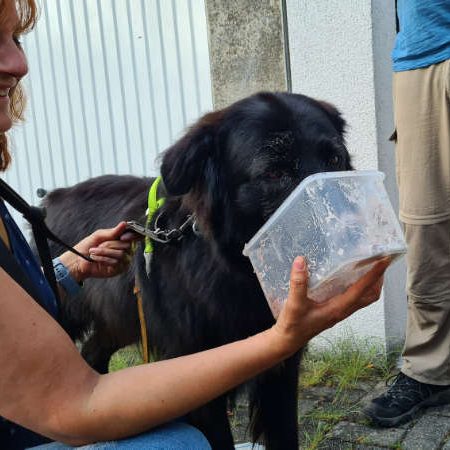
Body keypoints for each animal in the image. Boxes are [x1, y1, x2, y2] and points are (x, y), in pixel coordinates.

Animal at [41, 92, 352, 450]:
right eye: (274, 173)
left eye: (335, 158)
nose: (349, 226)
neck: (238, 271)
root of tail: (54, 197)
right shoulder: (195, 374)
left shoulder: (282, 371)